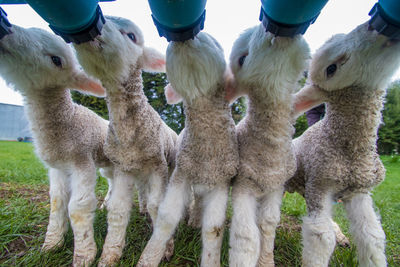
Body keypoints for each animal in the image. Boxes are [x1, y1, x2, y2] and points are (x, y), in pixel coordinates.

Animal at [0, 25, 114, 267]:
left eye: (55, 60)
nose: (5, 32)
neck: (68, 120)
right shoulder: (58, 167)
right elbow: (57, 203)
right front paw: (51, 244)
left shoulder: (82, 160)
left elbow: (77, 207)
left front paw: (84, 254)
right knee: (112, 181)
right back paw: (106, 204)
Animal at [72, 16, 178, 267]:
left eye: (131, 36)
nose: (90, 30)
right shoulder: (123, 167)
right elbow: (118, 209)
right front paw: (109, 255)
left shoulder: (158, 165)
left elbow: (159, 206)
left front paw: (164, 247)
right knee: (142, 193)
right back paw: (142, 209)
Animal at [136, 31, 239, 267]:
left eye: (215, 43)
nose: (183, 37)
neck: (207, 150)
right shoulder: (181, 174)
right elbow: (166, 219)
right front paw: (150, 257)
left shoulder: (221, 181)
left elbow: (213, 229)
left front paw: (211, 261)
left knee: (199, 202)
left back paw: (195, 219)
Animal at [225, 24, 310, 266]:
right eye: (242, 59)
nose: (269, 29)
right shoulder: (243, 185)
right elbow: (246, 235)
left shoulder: (275, 187)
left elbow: (268, 223)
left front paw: (266, 260)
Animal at [286, 22, 400, 266]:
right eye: (331, 68)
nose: (375, 27)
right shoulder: (320, 184)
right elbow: (321, 236)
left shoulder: (358, 191)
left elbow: (371, 235)